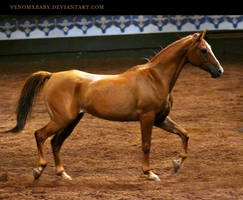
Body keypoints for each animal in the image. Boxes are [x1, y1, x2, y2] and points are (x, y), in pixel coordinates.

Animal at [6, 30, 224, 182]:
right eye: (204, 50)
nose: (219, 71)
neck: (155, 78)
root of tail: (51, 75)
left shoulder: (160, 119)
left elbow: (184, 133)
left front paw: (177, 163)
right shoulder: (147, 118)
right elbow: (146, 145)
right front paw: (150, 173)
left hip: (71, 120)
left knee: (55, 142)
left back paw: (63, 174)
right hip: (62, 119)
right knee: (40, 135)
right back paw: (38, 170)